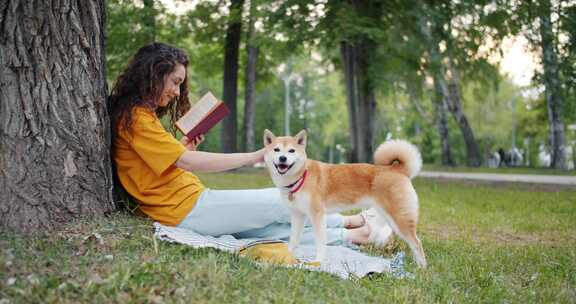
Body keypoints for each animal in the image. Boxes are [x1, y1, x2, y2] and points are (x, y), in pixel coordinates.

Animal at [264, 129, 426, 268]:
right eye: (276, 150)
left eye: (291, 151)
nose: (283, 158)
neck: (301, 176)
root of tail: (397, 169)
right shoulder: (298, 215)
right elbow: (294, 240)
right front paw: (287, 255)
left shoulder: (317, 215)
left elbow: (320, 243)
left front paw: (318, 261)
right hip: (387, 215)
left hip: (399, 218)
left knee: (417, 243)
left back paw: (422, 269)